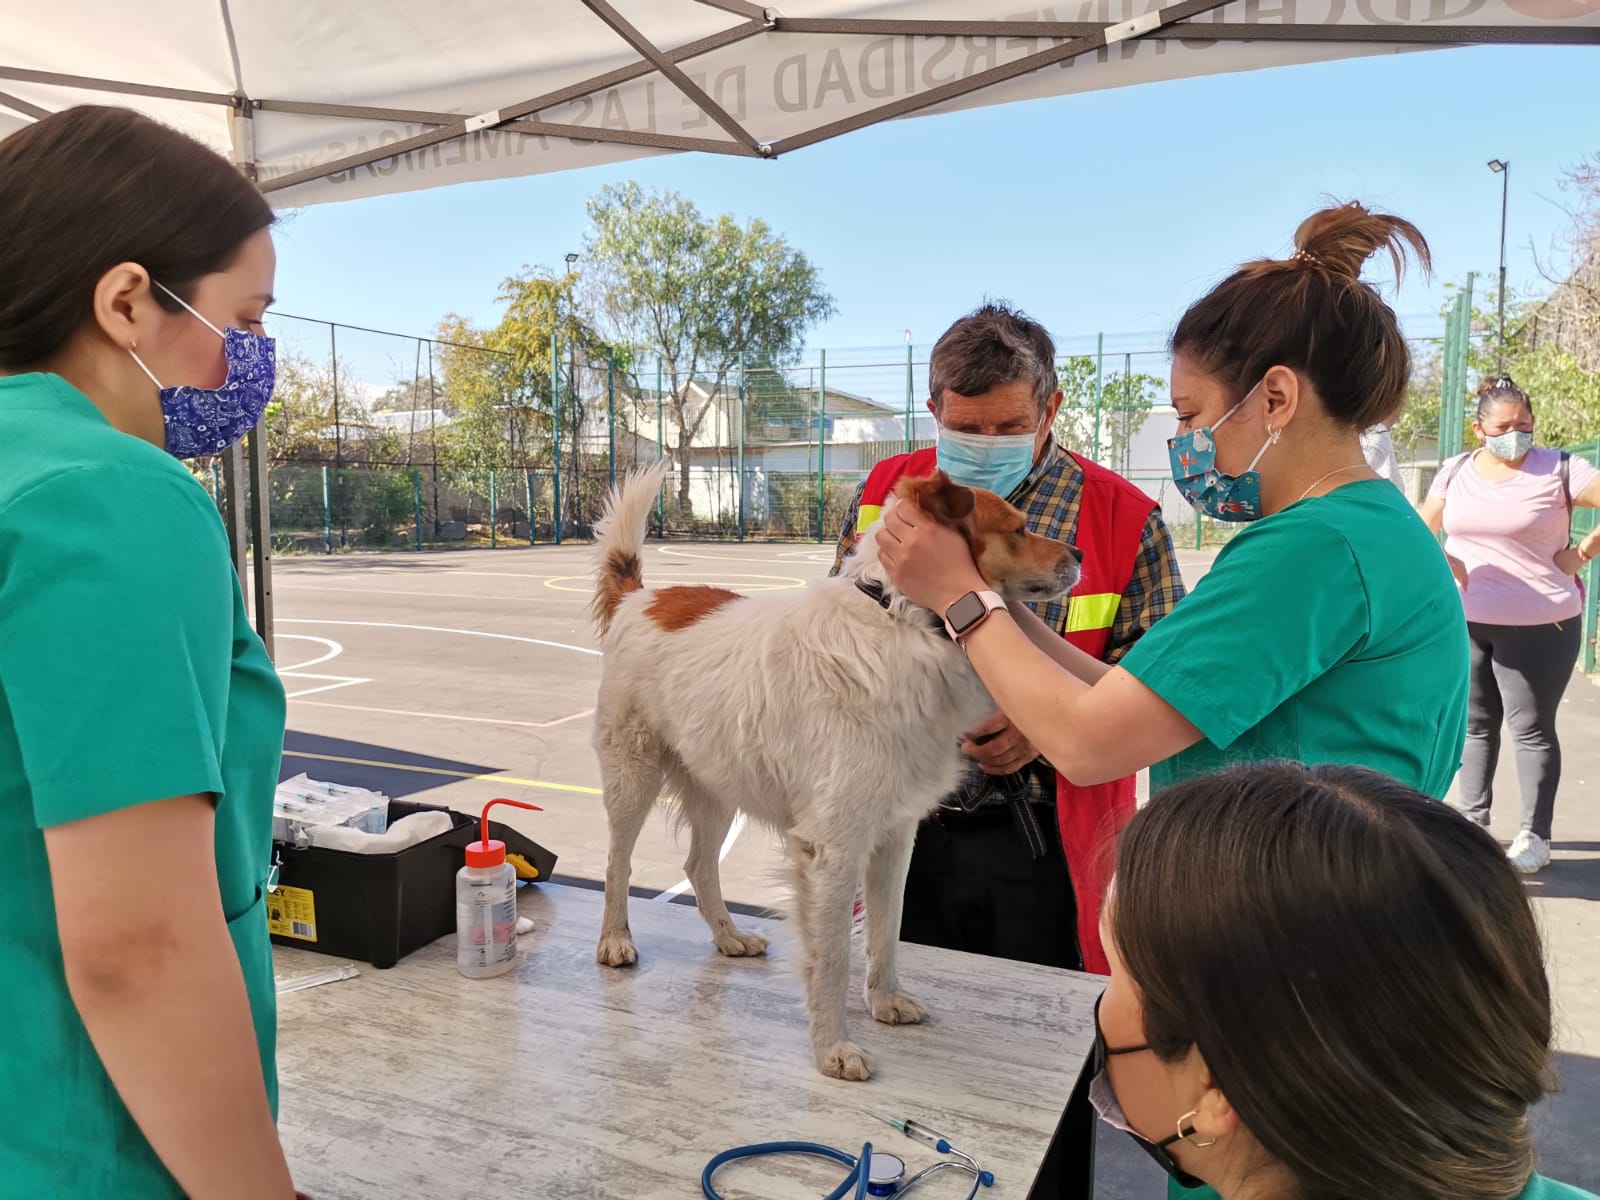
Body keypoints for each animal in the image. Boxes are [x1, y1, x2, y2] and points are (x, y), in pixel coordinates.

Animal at [585, 464, 1075, 1081]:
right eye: (1017, 529)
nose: (1079, 554)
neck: (903, 619)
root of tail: (641, 596)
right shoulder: (834, 847)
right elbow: (834, 956)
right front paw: (832, 1048)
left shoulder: (894, 837)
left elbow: (887, 932)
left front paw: (885, 1000)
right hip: (634, 777)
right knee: (617, 864)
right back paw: (614, 941)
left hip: (717, 784)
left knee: (698, 866)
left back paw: (729, 938)